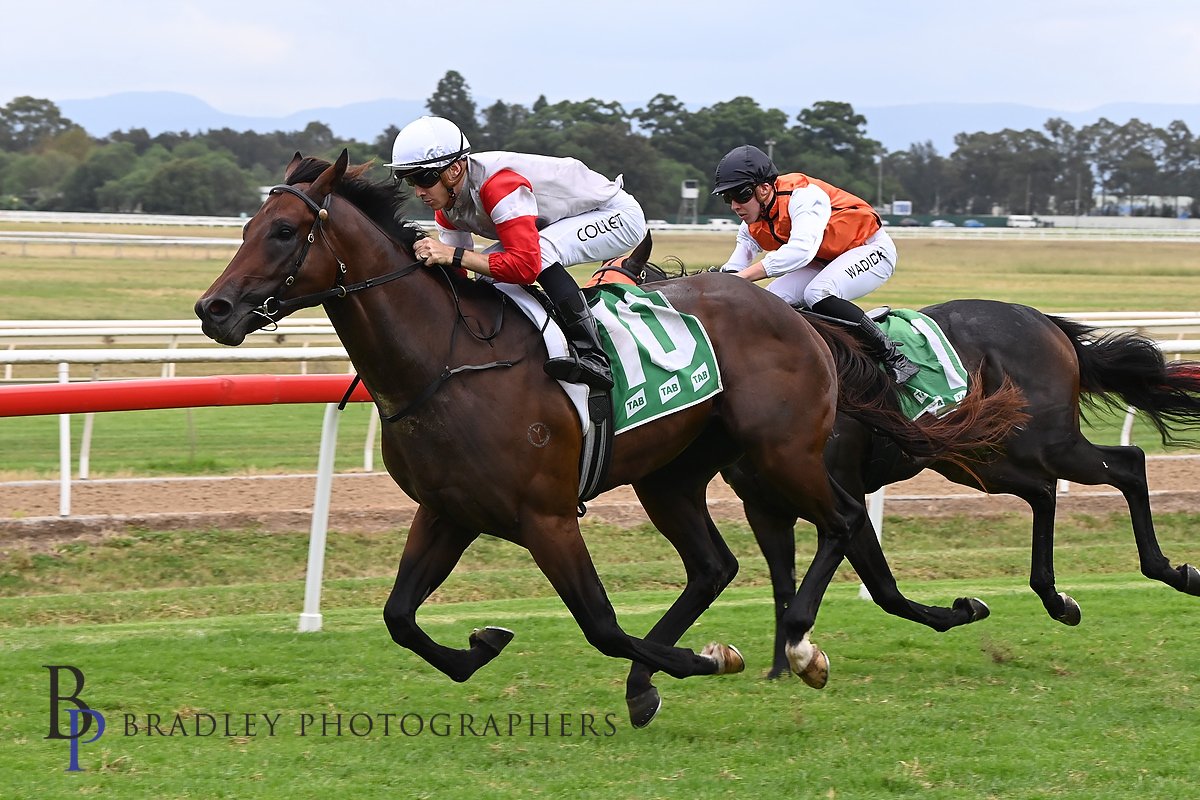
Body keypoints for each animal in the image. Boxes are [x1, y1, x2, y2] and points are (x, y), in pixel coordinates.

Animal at [194, 149, 1022, 724]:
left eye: (285, 231)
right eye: (245, 227)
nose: (213, 310)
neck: (444, 360)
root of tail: (799, 318)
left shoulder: (547, 516)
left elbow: (600, 624)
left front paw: (707, 660)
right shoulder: (449, 509)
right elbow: (400, 617)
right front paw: (481, 646)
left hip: (782, 453)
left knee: (844, 519)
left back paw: (822, 640)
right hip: (673, 475)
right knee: (716, 565)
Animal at [720, 299, 1200, 681]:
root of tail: (1041, 319)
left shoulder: (843, 494)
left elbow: (883, 588)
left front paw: (964, 609)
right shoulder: (764, 507)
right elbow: (784, 586)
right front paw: (780, 668)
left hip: (1048, 443)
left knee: (1128, 464)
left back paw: (1172, 572)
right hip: (978, 456)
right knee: (1043, 492)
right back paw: (1056, 598)